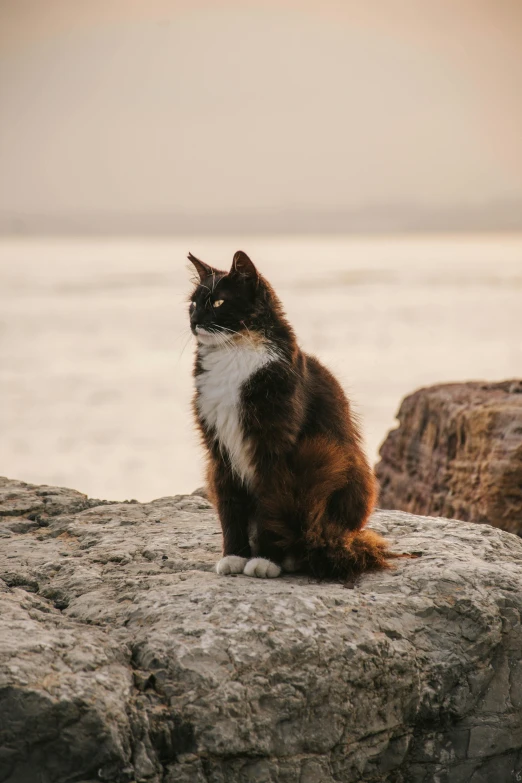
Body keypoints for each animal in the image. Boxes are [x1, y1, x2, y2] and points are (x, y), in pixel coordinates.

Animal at [188, 251, 406, 580]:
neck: (235, 351)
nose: (194, 320)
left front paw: (266, 559)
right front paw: (234, 556)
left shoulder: (274, 448)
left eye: (217, 303)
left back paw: (294, 556)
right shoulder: (219, 451)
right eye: (192, 304)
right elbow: (230, 508)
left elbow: (271, 505)